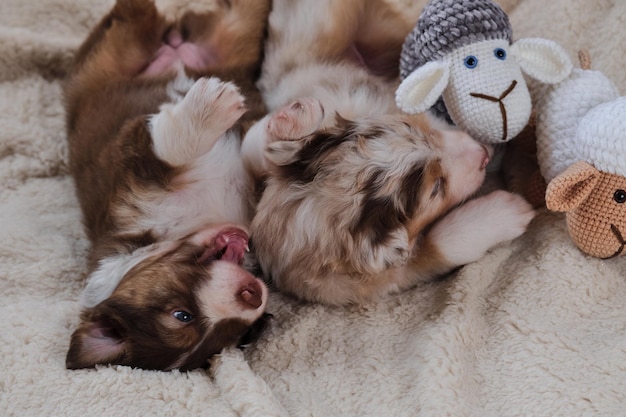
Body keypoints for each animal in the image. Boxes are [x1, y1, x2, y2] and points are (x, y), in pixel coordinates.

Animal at [241, 0, 532, 306]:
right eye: (436, 188)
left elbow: (253, 147)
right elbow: (441, 245)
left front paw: (294, 117)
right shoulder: (383, 278)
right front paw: (511, 210)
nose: (483, 152)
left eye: (417, 131)